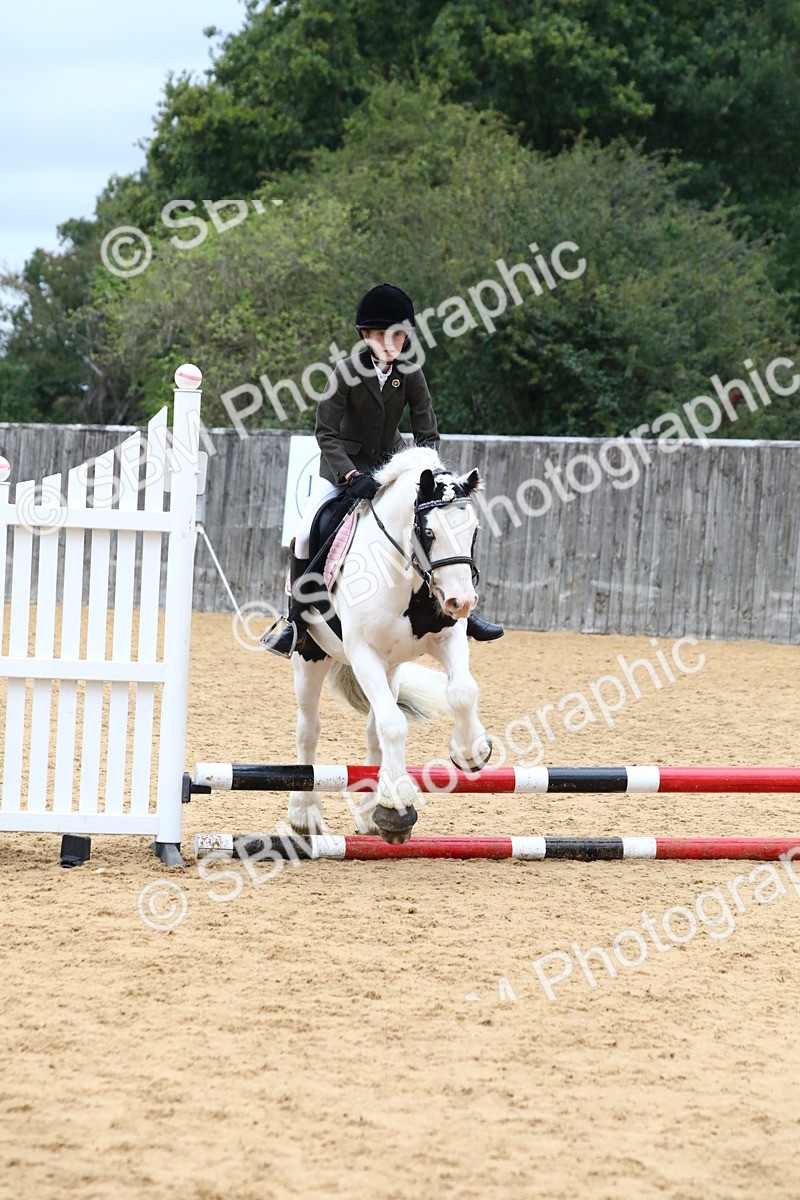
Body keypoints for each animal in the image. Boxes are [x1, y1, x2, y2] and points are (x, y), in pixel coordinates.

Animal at [287, 445, 493, 844]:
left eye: (473, 530)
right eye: (428, 531)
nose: (461, 602)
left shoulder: (448, 638)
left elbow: (463, 692)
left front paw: (471, 751)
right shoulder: (363, 654)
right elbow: (395, 725)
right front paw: (397, 806)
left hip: (392, 667)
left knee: (374, 730)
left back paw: (369, 812)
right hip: (311, 656)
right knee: (309, 730)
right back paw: (305, 816)